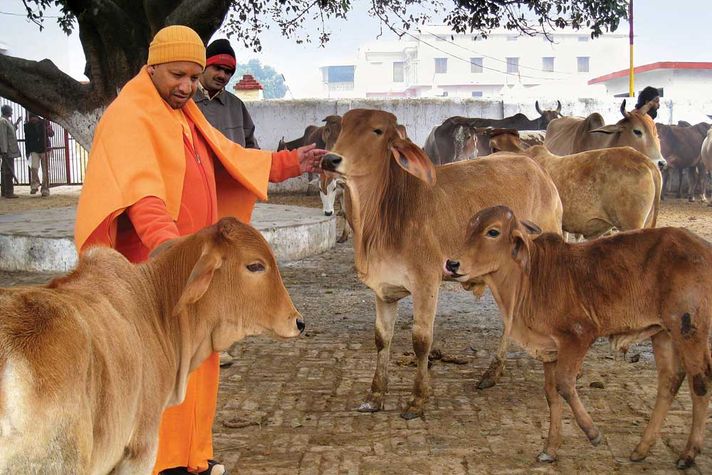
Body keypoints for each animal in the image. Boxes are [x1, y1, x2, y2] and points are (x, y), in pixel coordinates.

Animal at [322, 109, 560, 420]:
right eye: (343, 128)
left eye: (377, 131)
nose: (330, 159)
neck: (384, 215)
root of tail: (539, 169)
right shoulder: (383, 288)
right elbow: (382, 338)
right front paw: (374, 396)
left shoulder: (426, 283)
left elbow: (421, 341)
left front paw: (417, 399)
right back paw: (493, 373)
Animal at [444, 207, 712, 468]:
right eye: (469, 228)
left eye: (493, 231)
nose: (453, 263)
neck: (530, 278)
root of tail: (703, 247)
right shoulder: (550, 350)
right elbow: (551, 394)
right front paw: (550, 450)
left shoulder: (578, 336)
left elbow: (565, 384)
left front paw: (593, 433)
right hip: (663, 333)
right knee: (670, 380)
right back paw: (641, 449)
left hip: (690, 330)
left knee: (700, 382)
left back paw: (688, 454)